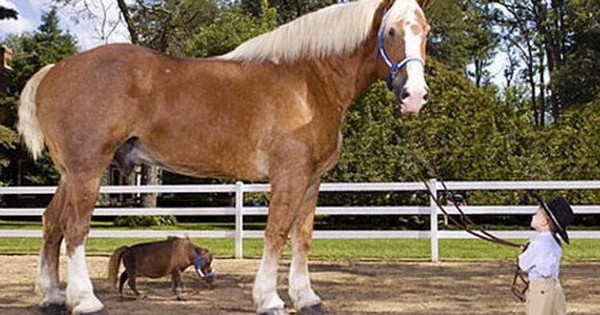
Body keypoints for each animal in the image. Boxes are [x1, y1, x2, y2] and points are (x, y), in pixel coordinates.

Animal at [17, 0, 432, 315]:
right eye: (392, 32)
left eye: (425, 33)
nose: (414, 96)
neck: (308, 82)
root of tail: (55, 70)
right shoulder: (289, 175)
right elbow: (277, 233)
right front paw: (270, 300)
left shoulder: (312, 179)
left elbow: (303, 238)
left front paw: (307, 298)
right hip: (88, 170)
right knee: (74, 229)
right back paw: (85, 301)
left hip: (69, 174)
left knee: (51, 224)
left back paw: (52, 297)